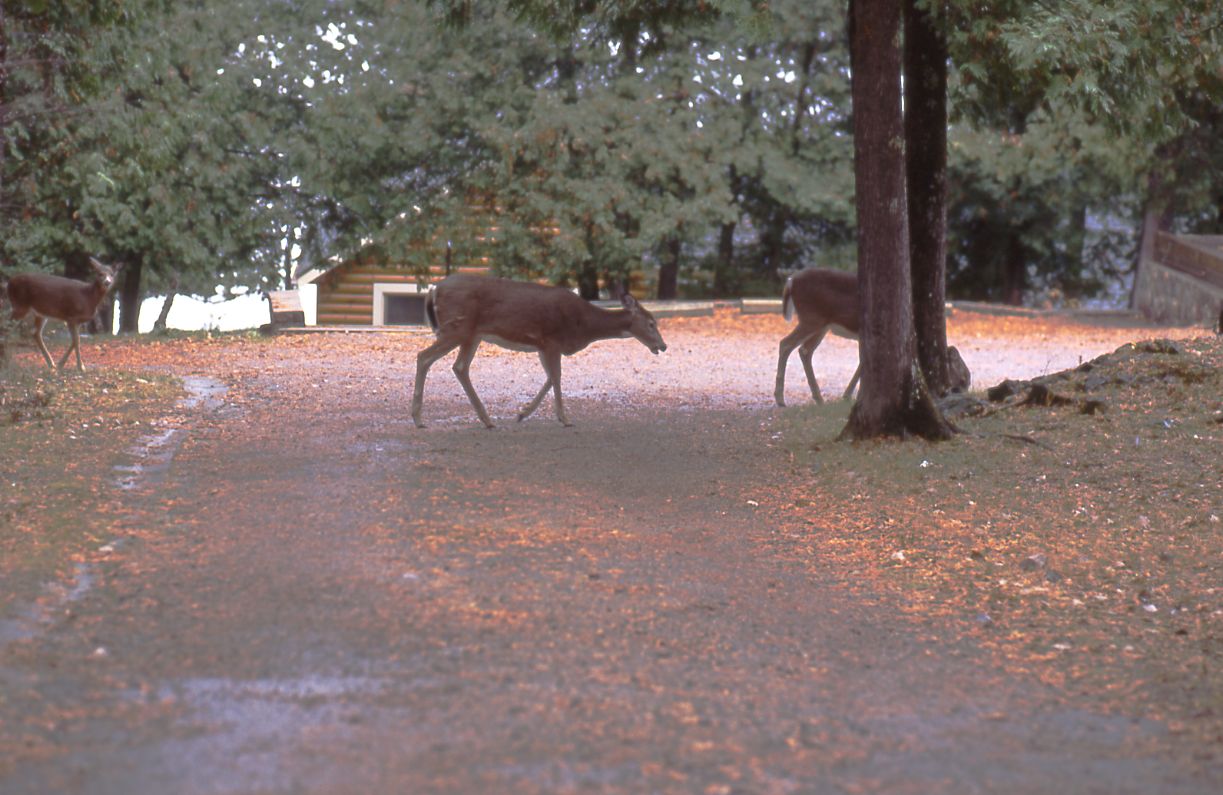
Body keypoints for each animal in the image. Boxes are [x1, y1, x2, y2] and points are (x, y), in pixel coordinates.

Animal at [408, 275, 670, 430]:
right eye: (651, 323)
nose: (663, 345)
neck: (584, 324)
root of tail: (433, 290)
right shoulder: (552, 340)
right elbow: (556, 377)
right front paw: (564, 418)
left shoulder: (544, 346)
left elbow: (549, 378)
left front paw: (522, 414)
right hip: (457, 328)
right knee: (424, 357)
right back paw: (418, 419)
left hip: (472, 335)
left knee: (460, 367)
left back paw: (487, 420)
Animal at [772, 266, 973, 406]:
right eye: (963, 377)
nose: (965, 389)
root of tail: (790, 281)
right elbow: (864, 362)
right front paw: (851, 396)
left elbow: (864, 362)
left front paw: (849, 395)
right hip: (811, 318)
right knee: (785, 344)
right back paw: (781, 399)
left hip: (822, 325)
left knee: (804, 351)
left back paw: (818, 398)